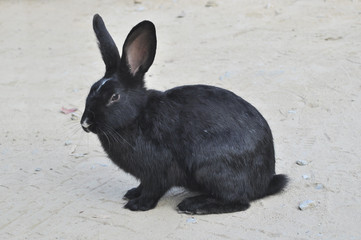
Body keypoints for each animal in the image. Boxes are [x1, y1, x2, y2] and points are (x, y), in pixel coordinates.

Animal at [80, 14, 286, 215]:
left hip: (209, 169)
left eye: (114, 97)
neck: (137, 116)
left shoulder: (160, 169)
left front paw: (137, 205)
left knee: (239, 202)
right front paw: (132, 193)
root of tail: (264, 182)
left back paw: (192, 206)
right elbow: (143, 185)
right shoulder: (147, 175)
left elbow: (153, 190)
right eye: (91, 89)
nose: (85, 123)